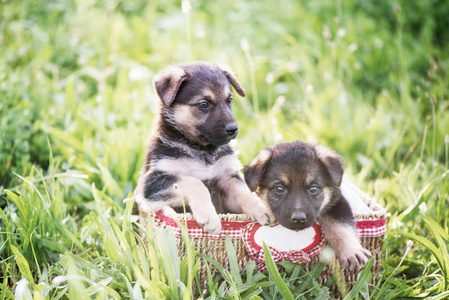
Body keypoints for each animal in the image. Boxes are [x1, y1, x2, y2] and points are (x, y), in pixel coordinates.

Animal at [133, 61, 272, 233]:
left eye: (229, 100)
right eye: (203, 104)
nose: (233, 129)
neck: (202, 149)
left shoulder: (227, 178)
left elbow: (244, 193)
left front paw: (261, 209)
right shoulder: (152, 185)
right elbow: (195, 183)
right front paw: (210, 218)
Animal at [245, 141, 372, 270]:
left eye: (313, 188)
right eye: (279, 189)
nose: (298, 219)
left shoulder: (336, 203)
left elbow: (341, 228)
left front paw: (352, 252)